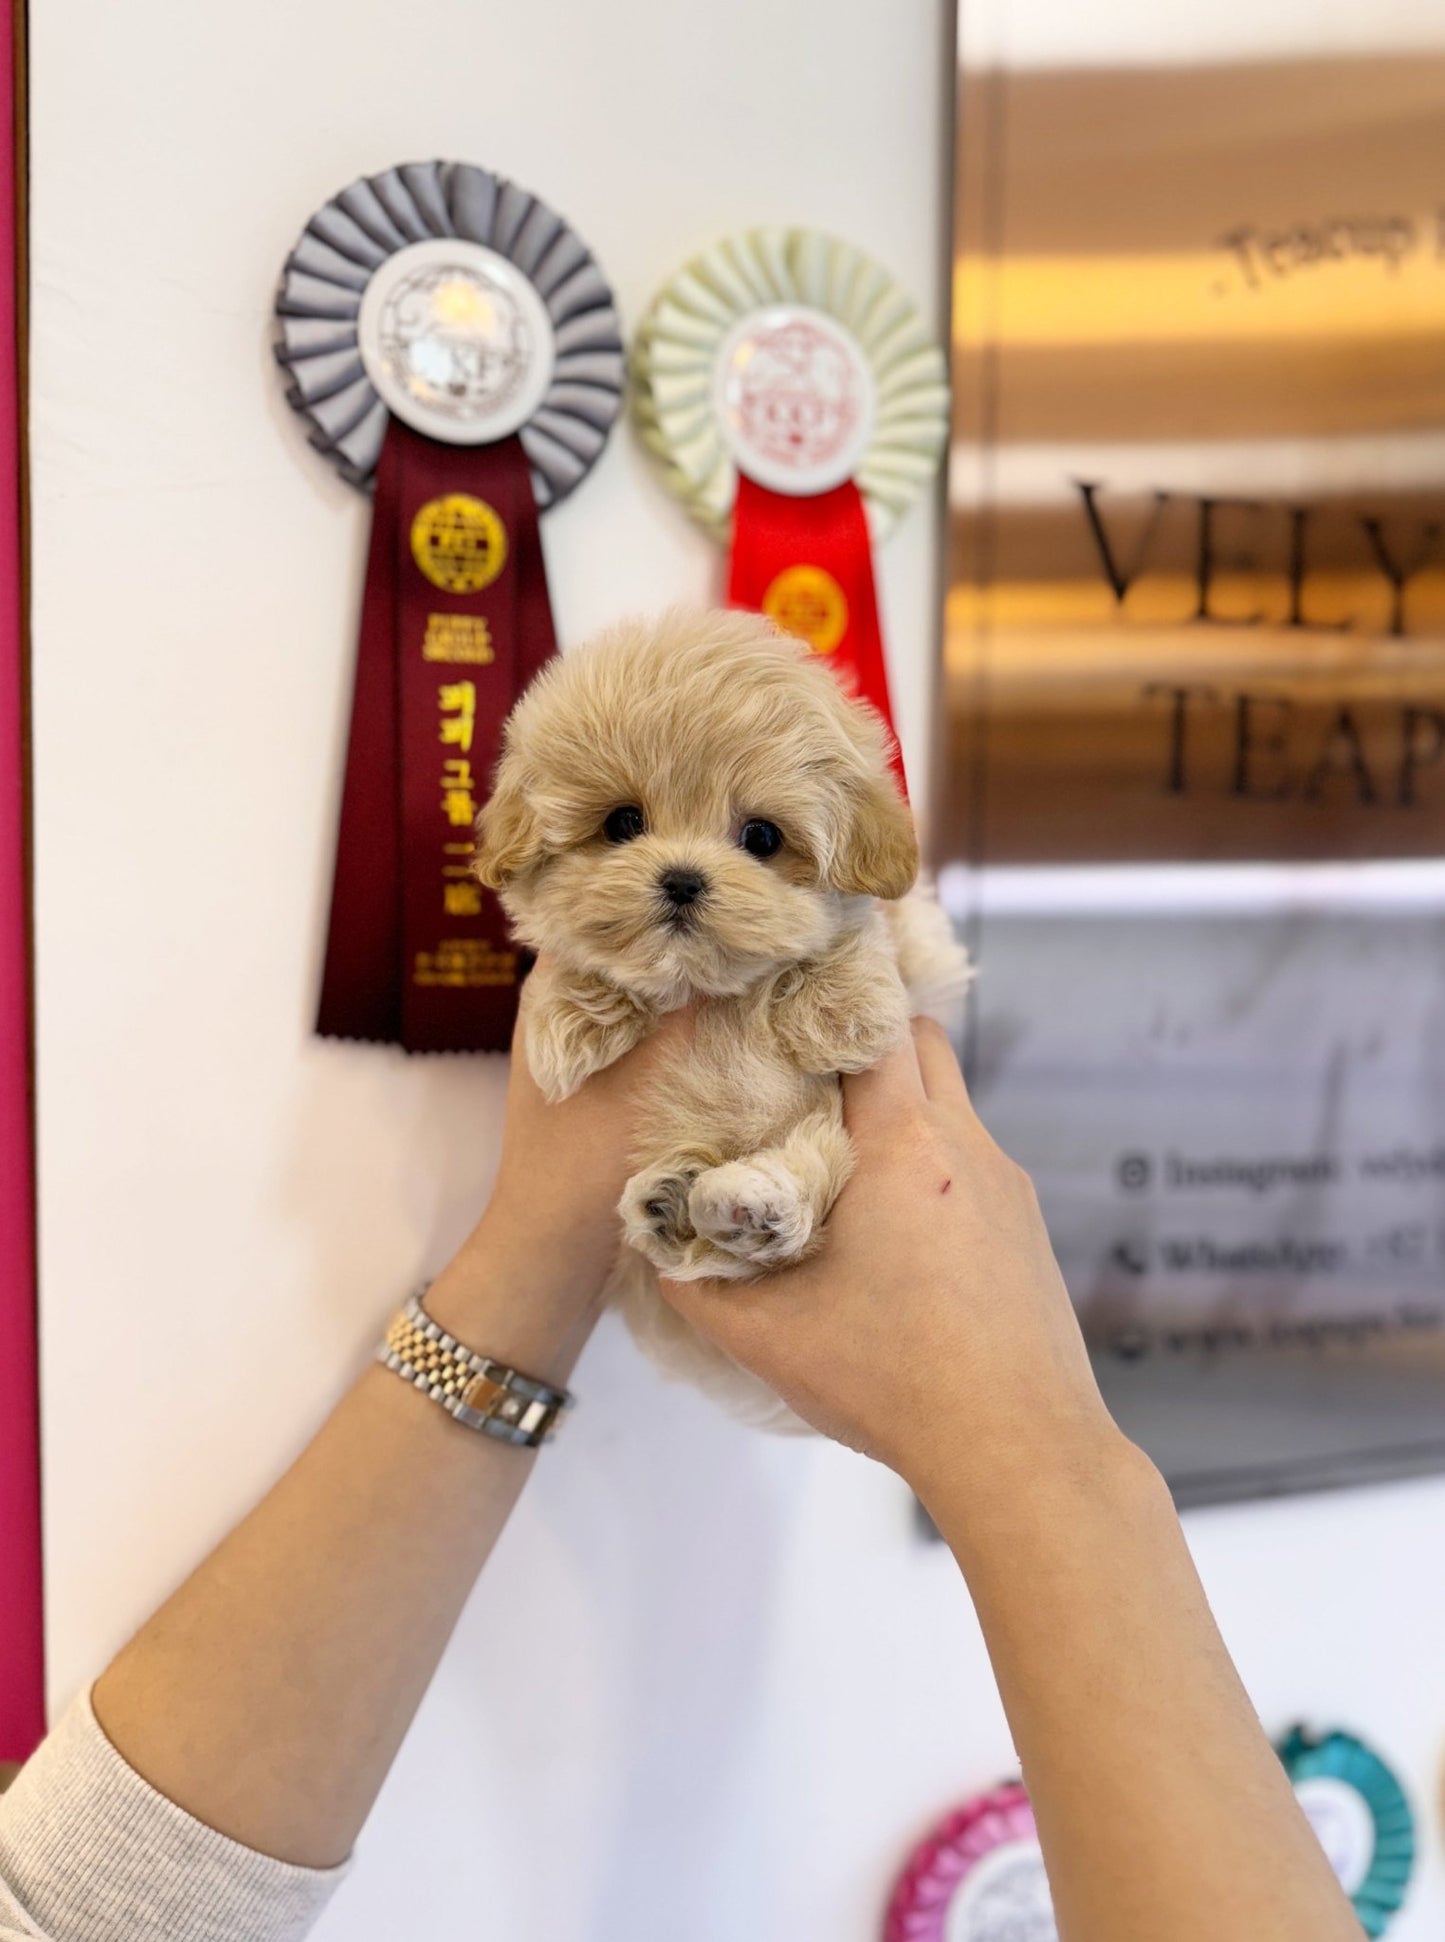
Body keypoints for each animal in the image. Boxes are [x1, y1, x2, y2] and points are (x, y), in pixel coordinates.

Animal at [477, 609, 971, 1429]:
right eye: (622, 823)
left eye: (762, 837)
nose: (681, 879)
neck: (706, 989)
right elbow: (577, 956)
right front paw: (572, 1020)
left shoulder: (922, 952)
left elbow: (874, 937)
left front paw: (841, 1009)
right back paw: (675, 1207)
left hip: (828, 1149)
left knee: (798, 1204)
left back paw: (750, 1206)